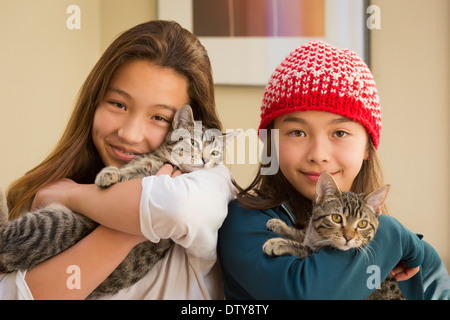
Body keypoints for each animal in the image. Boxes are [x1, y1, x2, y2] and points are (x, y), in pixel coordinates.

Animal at [0, 104, 237, 298]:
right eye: (193, 142)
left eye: (215, 153)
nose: (205, 160)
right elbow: (128, 169)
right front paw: (111, 173)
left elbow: (130, 174)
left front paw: (108, 175)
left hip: (55, 225)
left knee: (5, 234)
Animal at [262, 172, 406, 300]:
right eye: (336, 218)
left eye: (362, 224)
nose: (348, 237)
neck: (317, 238)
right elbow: (304, 234)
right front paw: (281, 225)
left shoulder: (314, 251)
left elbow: (305, 248)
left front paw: (279, 243)